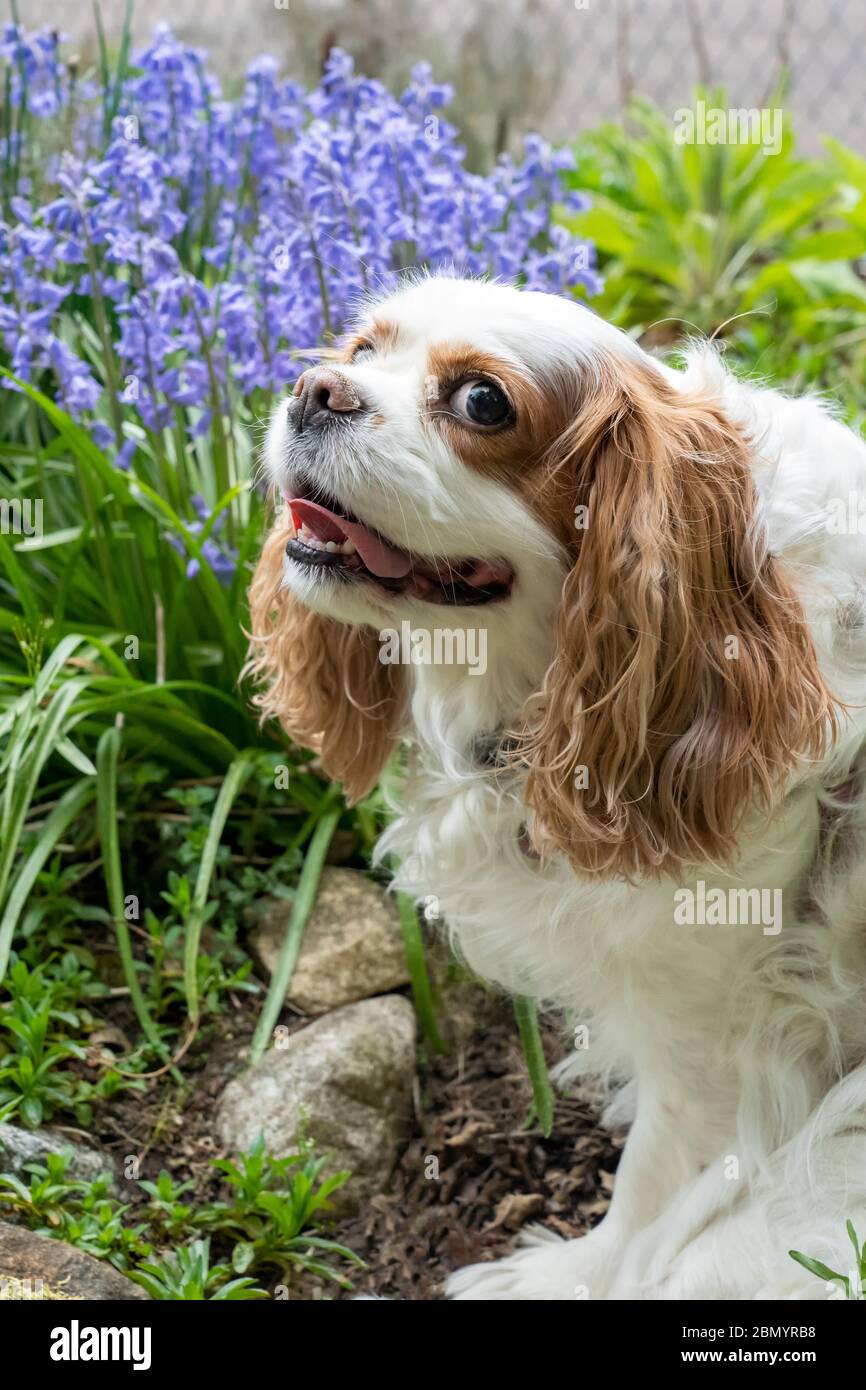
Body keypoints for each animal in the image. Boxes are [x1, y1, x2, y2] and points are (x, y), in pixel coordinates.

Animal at [246, 273, 866, 1301]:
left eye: (481, 402)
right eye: (362, 352)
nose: (315, 389)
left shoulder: (721, 1035)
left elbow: (651, 1187)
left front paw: (573, 1275)